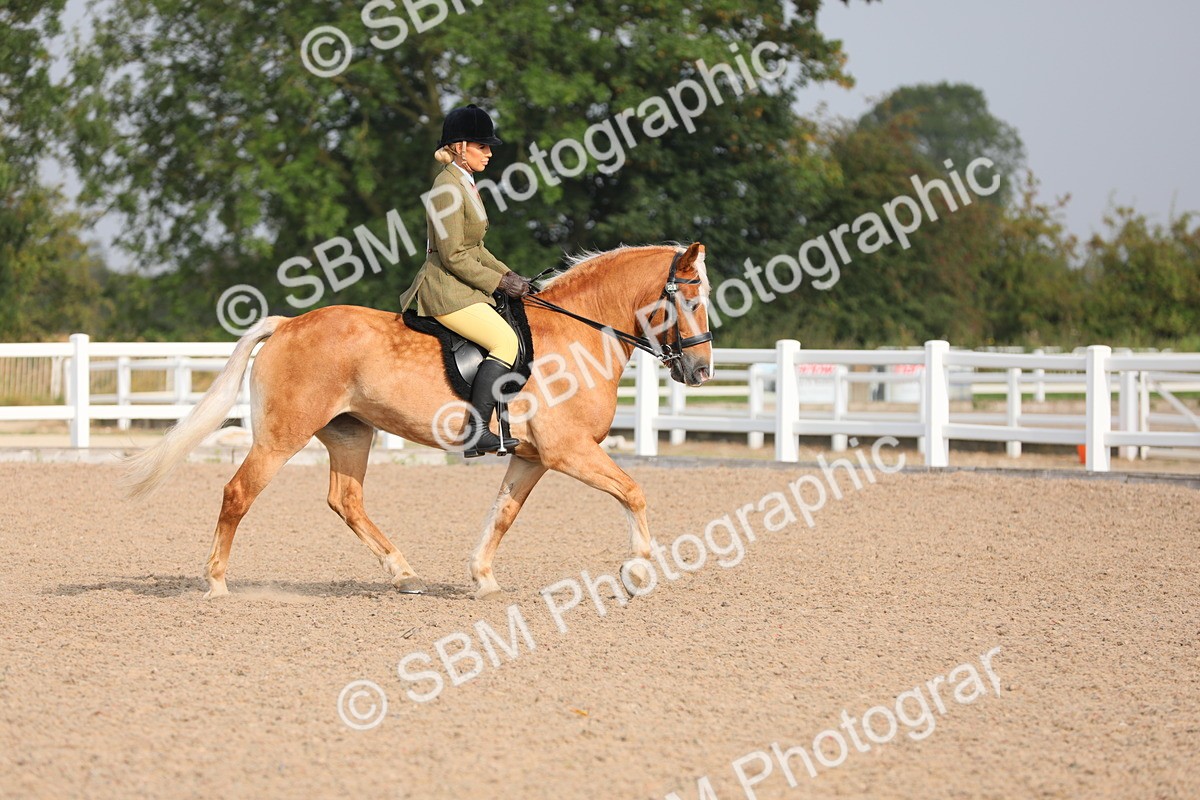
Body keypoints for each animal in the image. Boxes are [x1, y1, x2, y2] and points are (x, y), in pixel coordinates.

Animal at [124, 242, 714, 600]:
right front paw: (638, 571)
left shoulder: (533, 458)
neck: (578, 335)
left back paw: (403, 573)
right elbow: (633, 492)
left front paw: (483, 578)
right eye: (688, 298)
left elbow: (503, 515)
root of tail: (289, 324)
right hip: (281, 436)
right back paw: (217, 584)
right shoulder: (568, 450)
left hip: (350, 433)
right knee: (238, 492)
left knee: (346, 500)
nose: (702, 370)